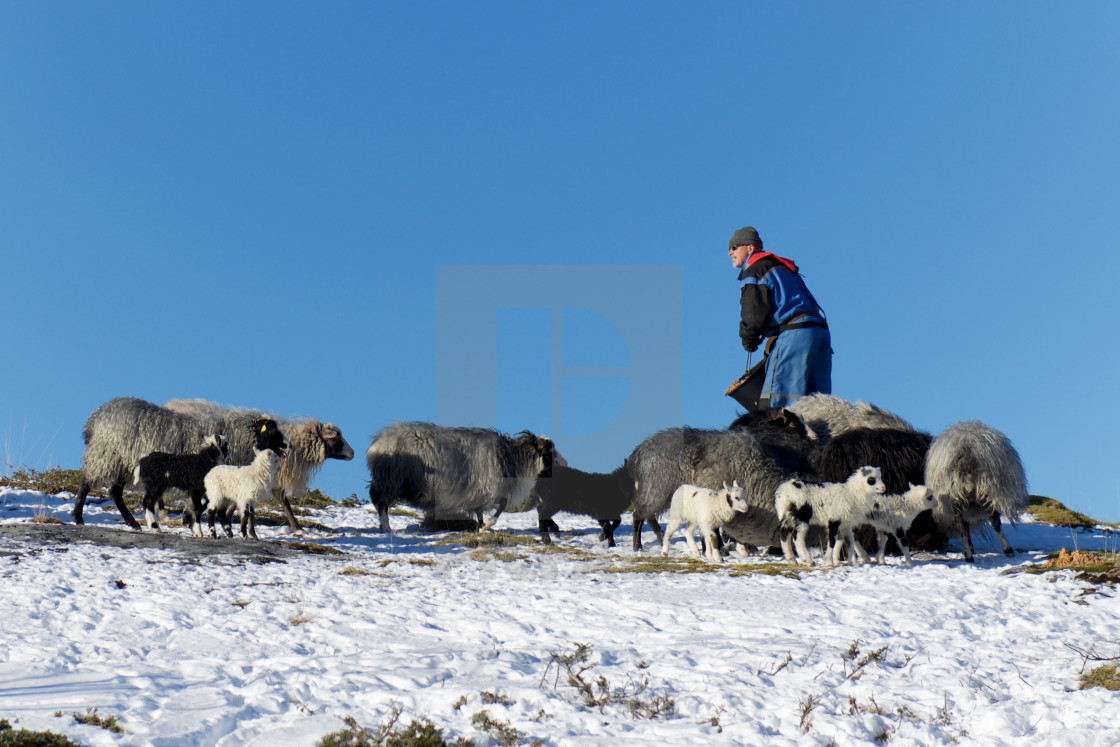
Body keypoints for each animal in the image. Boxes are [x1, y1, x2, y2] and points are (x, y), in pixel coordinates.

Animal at [73, 396, 288, 530]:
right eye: (270, 431)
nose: (288, 445)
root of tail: (95, 418)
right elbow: (203, 503)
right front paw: (189, 519)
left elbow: (204, 503)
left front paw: (189, 519)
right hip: (107, 455)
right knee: (87, 483)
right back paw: (78, 517)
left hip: (121, 463)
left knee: (115, 492)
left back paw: (132, 522)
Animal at [367, 423, 560, 535]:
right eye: (548, 452)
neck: (511, 457)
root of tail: (377, 444)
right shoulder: (487, 488)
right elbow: (500, 506)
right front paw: (487, 526)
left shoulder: (482, 492)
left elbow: (483, 510)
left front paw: (482, 526)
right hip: (391, 480)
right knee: (380, 502)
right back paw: (386, 528)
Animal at [922, 421, 1025, 559]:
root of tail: (967, 451)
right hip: (986, 490)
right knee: (994, 522)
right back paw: (1006, 549)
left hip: (956, 495)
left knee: (963, 525)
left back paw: (969, 554)